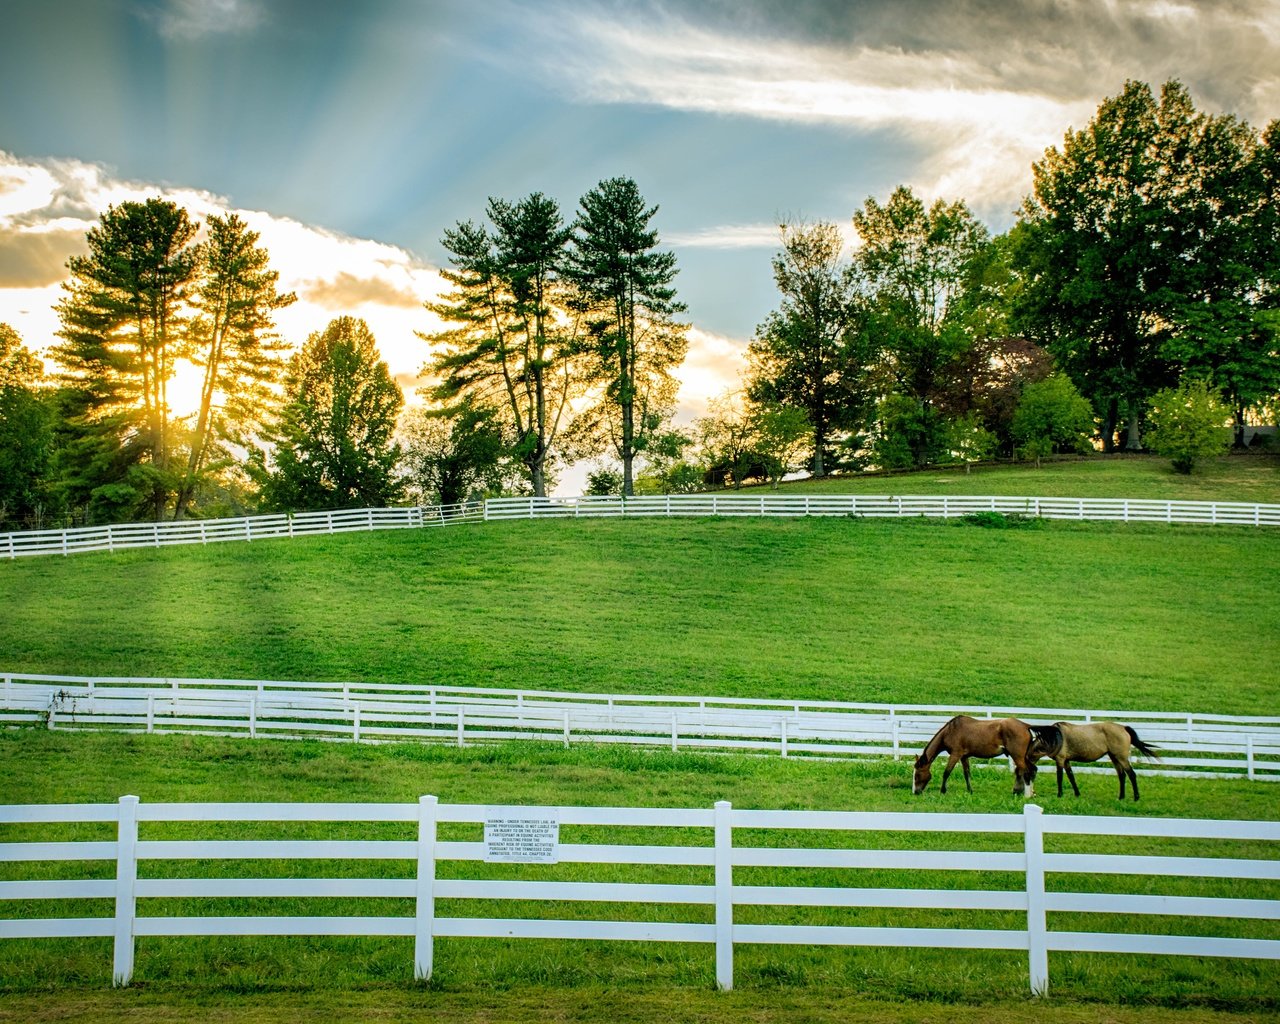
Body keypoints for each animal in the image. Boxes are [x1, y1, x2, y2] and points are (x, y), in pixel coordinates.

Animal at [1029, 721, 1162, 798]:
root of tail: (1123, 728)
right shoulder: (1066, 761)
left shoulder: (1060, 760)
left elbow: (1060, 777)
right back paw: (1121, 797)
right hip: (1114, 757)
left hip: (1121, 758)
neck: (1055, 737)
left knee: (1131, 774)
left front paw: (1059, 795)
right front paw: (1077, 794)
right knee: (1122, 775)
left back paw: (1136, 797)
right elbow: (1071, 777)